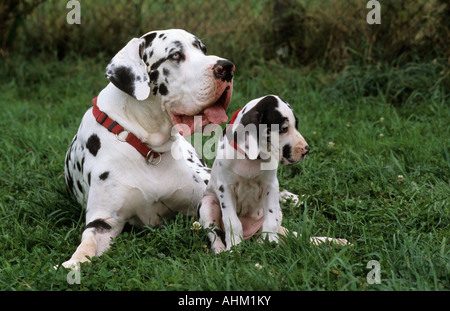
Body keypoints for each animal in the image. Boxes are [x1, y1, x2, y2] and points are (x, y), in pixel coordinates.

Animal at [63, 28, 236, 268]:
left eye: (203, 50)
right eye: (175, 55)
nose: (227, 67)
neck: (147, 148)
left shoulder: (201, 197)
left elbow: (215, 225)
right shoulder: (103, 220)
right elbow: (86, 245)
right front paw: (71, 263)